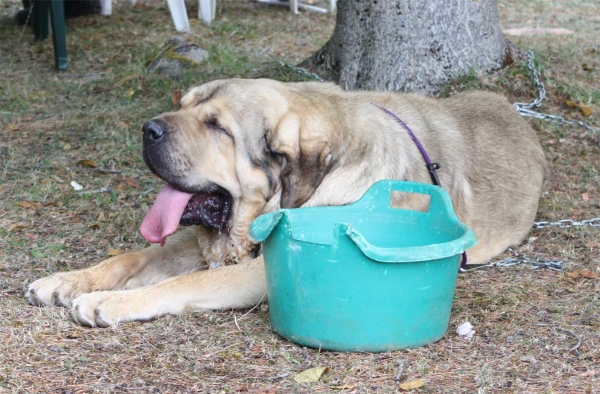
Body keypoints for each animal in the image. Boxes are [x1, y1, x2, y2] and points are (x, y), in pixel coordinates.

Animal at [25, 79, 548, 326]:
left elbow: (182, 283)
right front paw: (66, 281)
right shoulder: (196, 244)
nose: (147, 130)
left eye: (217, 126)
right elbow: (132, 257)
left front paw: (108, 301)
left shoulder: (261, 270)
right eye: (185, 104)